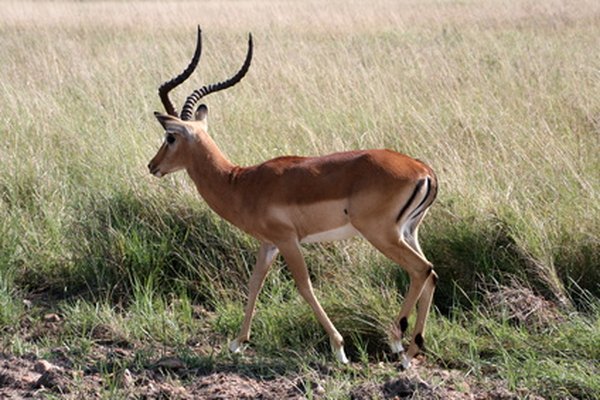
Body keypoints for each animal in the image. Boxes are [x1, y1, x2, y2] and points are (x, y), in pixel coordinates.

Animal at [149, 26, 440, 368]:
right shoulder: (269, 243)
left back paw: (397, 344)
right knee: (431, 273)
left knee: (420, 270)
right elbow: (254, 283)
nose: (153, 166)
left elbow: (304, 286)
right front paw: (237, 343)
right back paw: (412, 349)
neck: (242, 182)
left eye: (170, 137)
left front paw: (339, 350)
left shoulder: (288, 240)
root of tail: (423, 170)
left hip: (381, 234)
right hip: (408, 232)